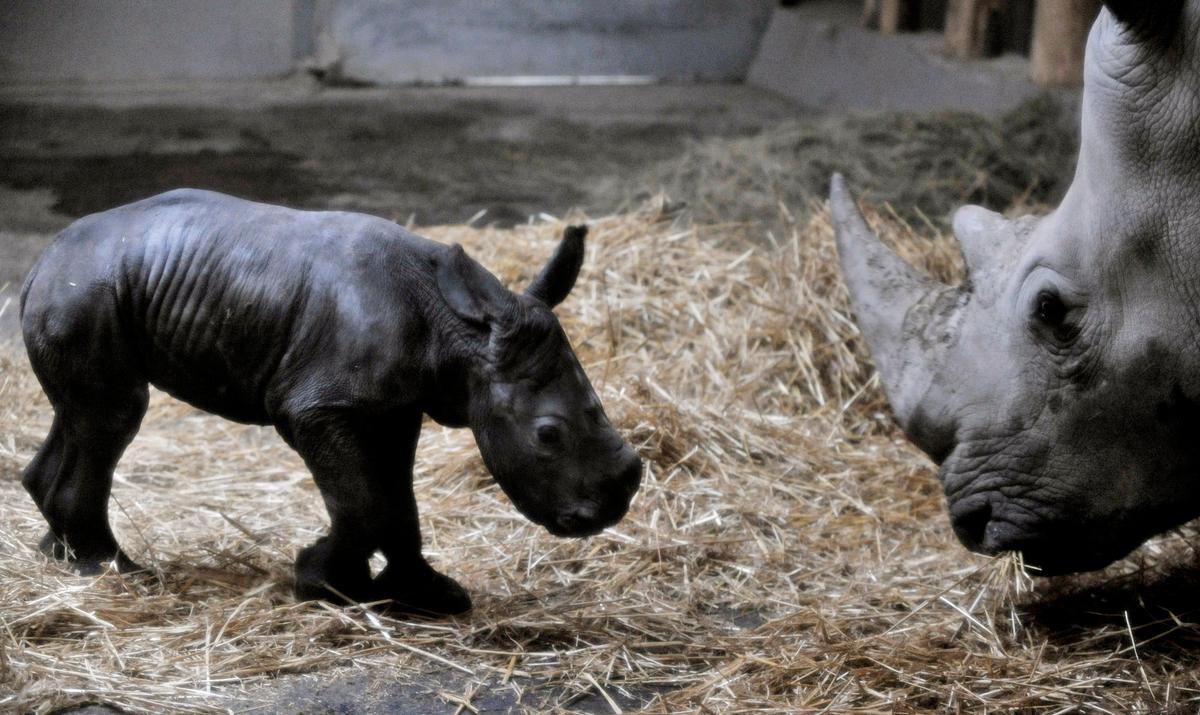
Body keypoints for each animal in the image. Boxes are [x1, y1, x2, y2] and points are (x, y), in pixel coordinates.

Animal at [19, 189, 642, 615]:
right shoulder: (315, 407)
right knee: (113, 414)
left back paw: (62, 557)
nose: (612, 510)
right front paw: (322, 585)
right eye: (547, 435)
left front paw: (426, 597)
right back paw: (115, 572)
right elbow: (364, 500)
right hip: (86, 293)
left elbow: (398, 499)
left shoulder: (396, 407)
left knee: (83, 416)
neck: (458, 330)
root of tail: (39, 263)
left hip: (90, 292)